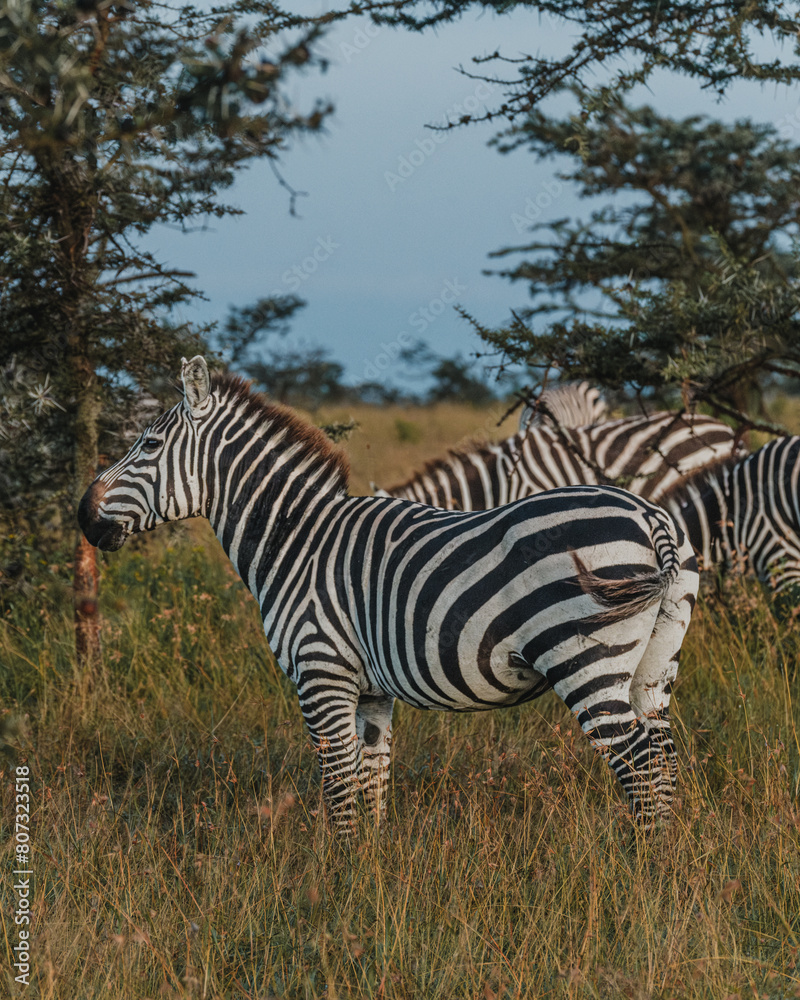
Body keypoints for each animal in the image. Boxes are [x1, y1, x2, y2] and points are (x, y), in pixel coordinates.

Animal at [78, 356, 698, 833]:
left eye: (149, 444)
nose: (83, 516)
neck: (296, 539)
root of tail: (650, 517)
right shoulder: (372, 692)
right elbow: (371, 784)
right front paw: (372, 879)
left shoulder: (321, 673)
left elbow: (337, 789)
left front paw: (338, 883)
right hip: (655, 663)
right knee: (663, 758)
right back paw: (666, 867)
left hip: (586, 661)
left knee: (638, 761)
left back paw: (640, 871)